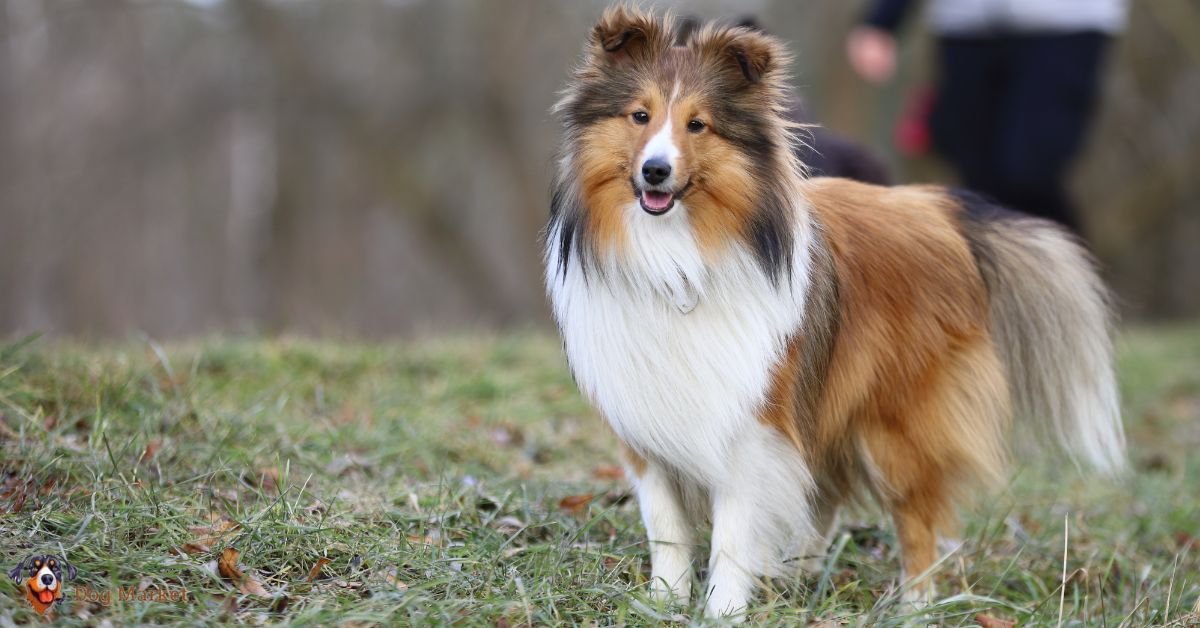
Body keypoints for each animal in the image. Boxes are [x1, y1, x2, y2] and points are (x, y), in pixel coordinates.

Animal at [544, 6, 1123, 619]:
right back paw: (799, 575)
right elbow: (667, 526)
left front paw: (724, 610)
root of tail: (937, 208)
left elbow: (733, 531)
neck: (678, 261)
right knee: (826, 496)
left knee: (915, 520)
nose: (655, 171)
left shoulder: (751, 420)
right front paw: (663, 601)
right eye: (640, 116)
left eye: (698, 125)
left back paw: (914, 607)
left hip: (895, 426)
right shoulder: (645, 423)